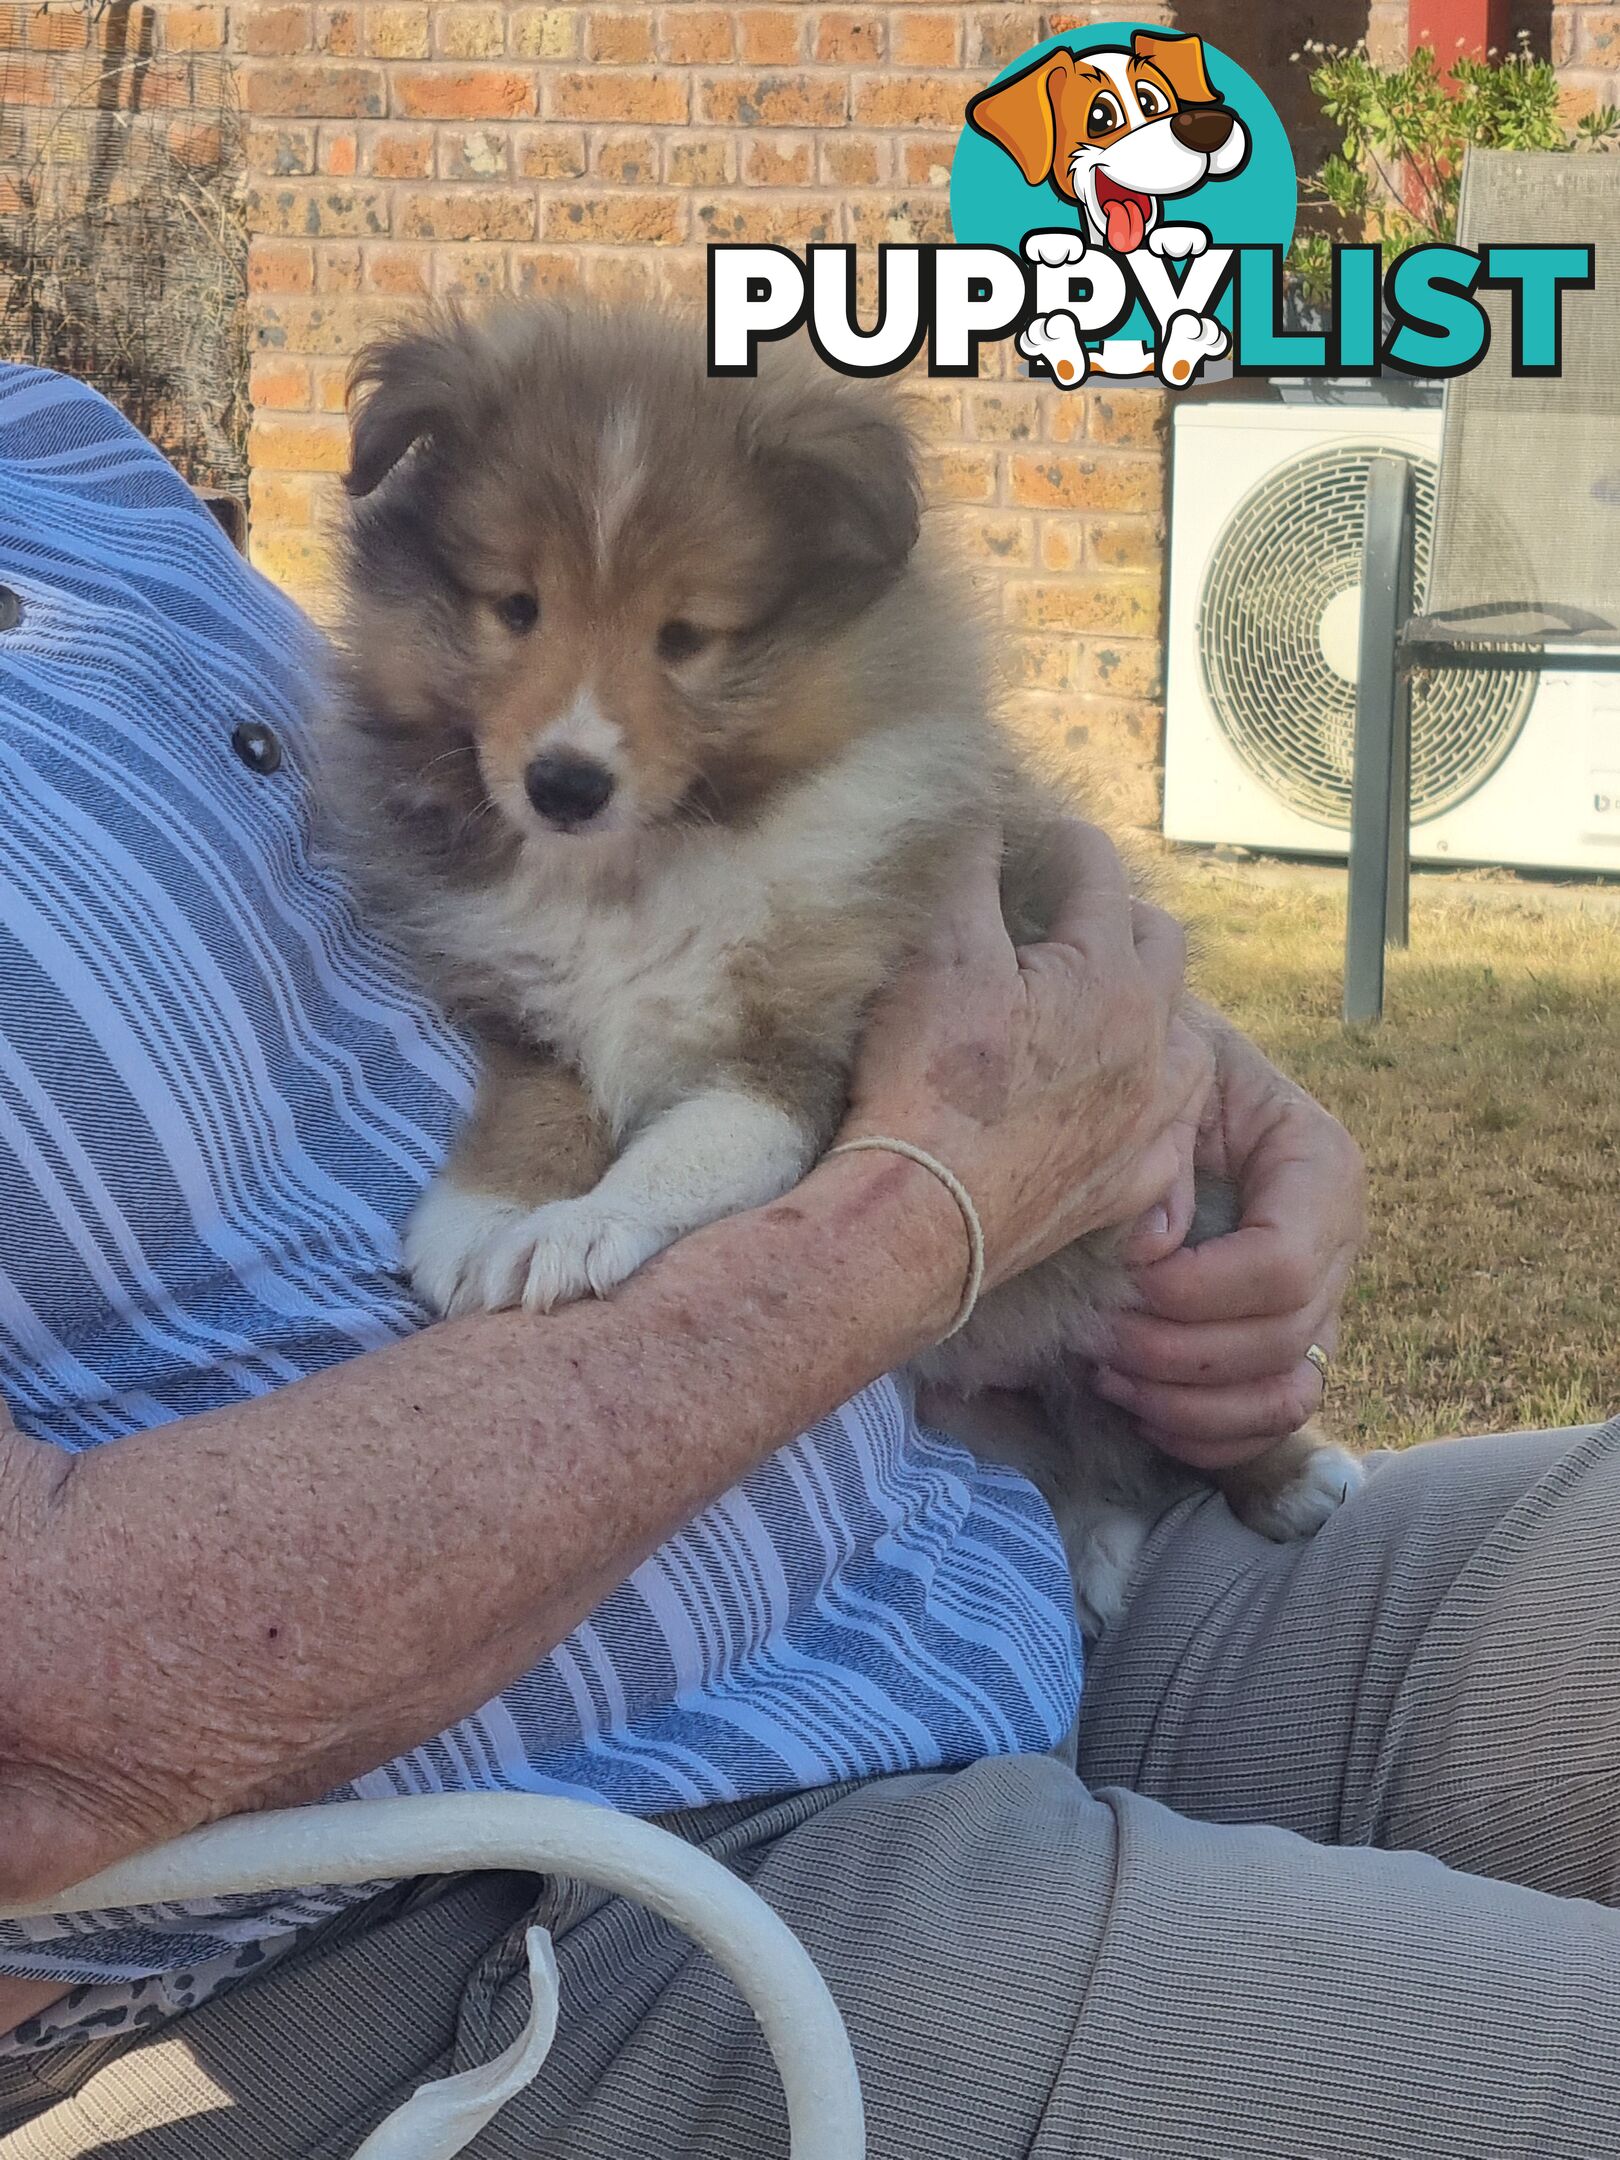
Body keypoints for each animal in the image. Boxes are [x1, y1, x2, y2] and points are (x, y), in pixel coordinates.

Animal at [319, 295, 1356, 1624]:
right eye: (516, 607)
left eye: (686, 636)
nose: (564, 784)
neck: (643, 865)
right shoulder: (525, 1006)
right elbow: (537, 1107)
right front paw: (483, 1221)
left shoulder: (792, 1053)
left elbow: (682, 1154)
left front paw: (576, 1231)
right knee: (1088, 1471)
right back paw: (1091, 1547)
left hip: (1172, 1257)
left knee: (1175, 1427)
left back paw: (1295, 1477)